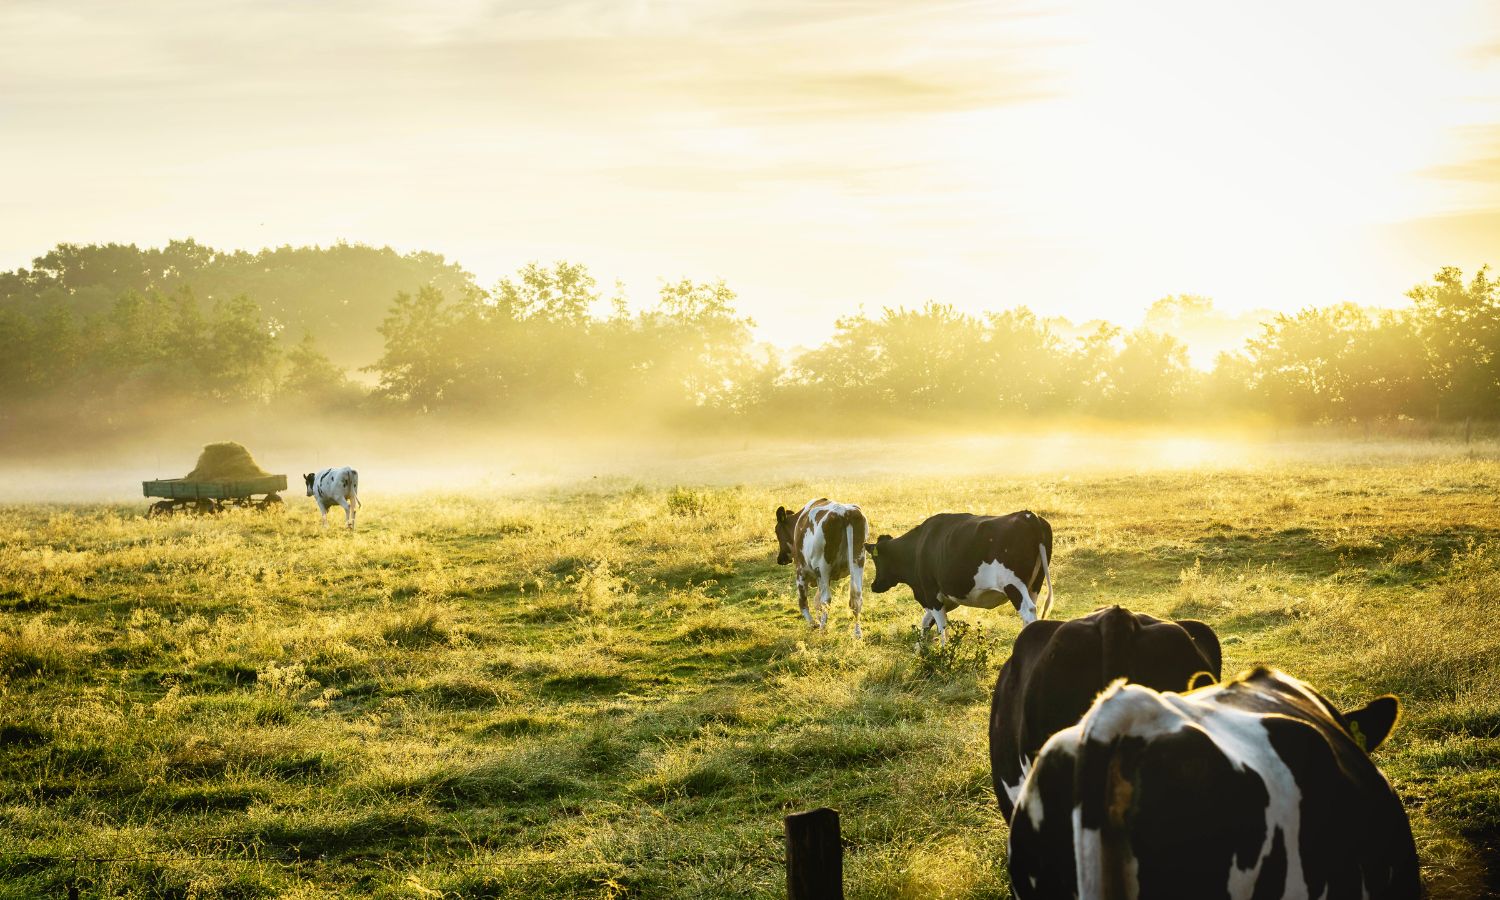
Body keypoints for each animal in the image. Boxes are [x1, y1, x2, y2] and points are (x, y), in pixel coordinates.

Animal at [774, 498, 870, 639]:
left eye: (777, 531)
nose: (780, 559)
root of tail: (844, 512)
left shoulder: (801, 571)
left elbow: (803, 601)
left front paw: (813, 624)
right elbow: (816, 602)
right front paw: (818, 621)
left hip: (823, 566)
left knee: (826, 599)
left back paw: (822, 630)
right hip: (858, 561)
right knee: (856, 597)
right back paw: (857, 633)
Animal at [864, 513, 1062, 639]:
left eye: (875, 558)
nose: (874, 585)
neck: (918, 546)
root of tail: (1028, 515)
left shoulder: (931, 592)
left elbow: (941, 627)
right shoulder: (948, 598)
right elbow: (927, 621)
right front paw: (921, 652)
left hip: (1013, 585)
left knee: (1028, 611)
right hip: (1034, 584)